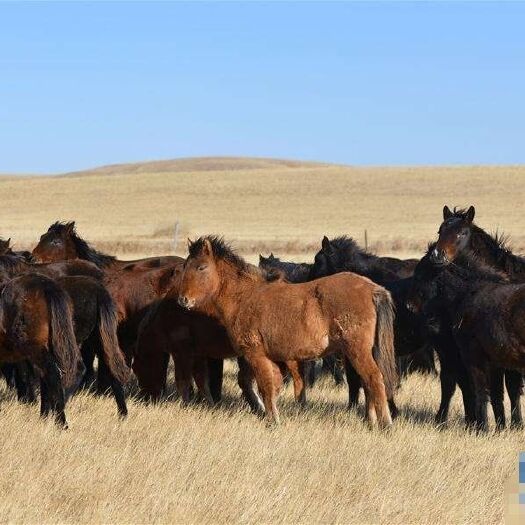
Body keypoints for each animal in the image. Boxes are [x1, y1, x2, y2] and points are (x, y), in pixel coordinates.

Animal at [178, 236, 396, 426]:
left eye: (201, 267)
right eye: (185, 266)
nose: (183, 300)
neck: (245, 297)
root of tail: (373, 289)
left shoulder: (255, 355)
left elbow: (265, 386)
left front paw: (272, 421)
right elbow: (271, 387)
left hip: (357, 350)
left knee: (374, 379)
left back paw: (385, 424)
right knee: (366, 383)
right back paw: (370, 421)